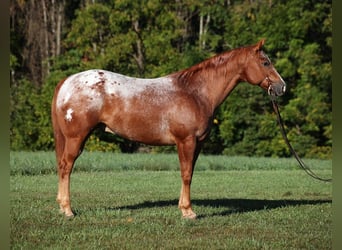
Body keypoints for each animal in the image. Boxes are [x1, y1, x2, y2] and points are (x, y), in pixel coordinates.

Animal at [50, 39, 286, 219]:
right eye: (265, 62)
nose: (282, 87)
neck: (195, 93)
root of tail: (67, 81)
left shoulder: (197, 144)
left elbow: (189, 173)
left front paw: (184, 207)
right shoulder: (186, 141)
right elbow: (186, 174)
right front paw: (188, 212)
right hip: (76, 138)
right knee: (66, 167)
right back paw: (68, 210)